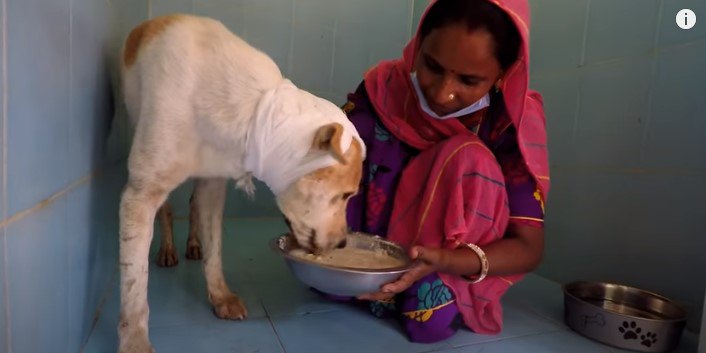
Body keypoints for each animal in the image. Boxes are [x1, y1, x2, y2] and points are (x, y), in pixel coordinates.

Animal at [117, 14, 364, 352]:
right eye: (346, 194)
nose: (341, 244)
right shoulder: (140, 194)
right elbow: (134, 284)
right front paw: (135, 340)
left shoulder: (213, 187)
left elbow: (215, 251)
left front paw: (220, 296)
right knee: (167, 210)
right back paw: (168, 250)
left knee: (192, 208)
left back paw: (193, 244)